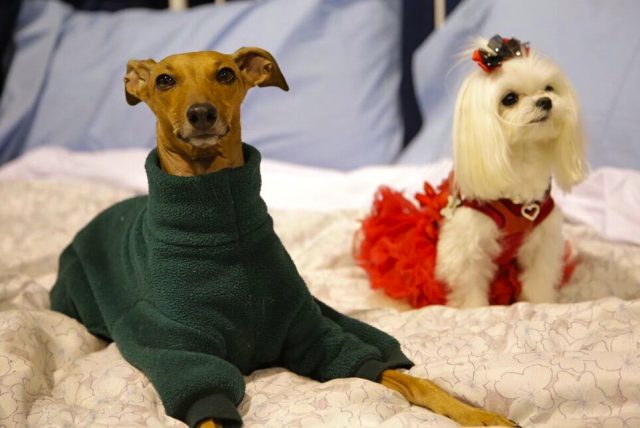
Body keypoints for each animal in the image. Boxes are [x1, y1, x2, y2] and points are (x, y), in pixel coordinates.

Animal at [125, 48, 520, 426]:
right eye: (164, 80)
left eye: (225, 74)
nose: (201, 114)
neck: (223, 212)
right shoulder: (188, 357)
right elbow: (207, 407)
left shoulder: (316, 337)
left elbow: (414, 381)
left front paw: (479, 415)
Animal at [436, 35, 592, 306]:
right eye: (509, 99)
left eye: (549, 88)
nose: (545, 101)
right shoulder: (467, 247)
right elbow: (470, 286)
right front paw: (475, 309)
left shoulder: (543, 241)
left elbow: (539, 280)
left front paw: (543, 305)